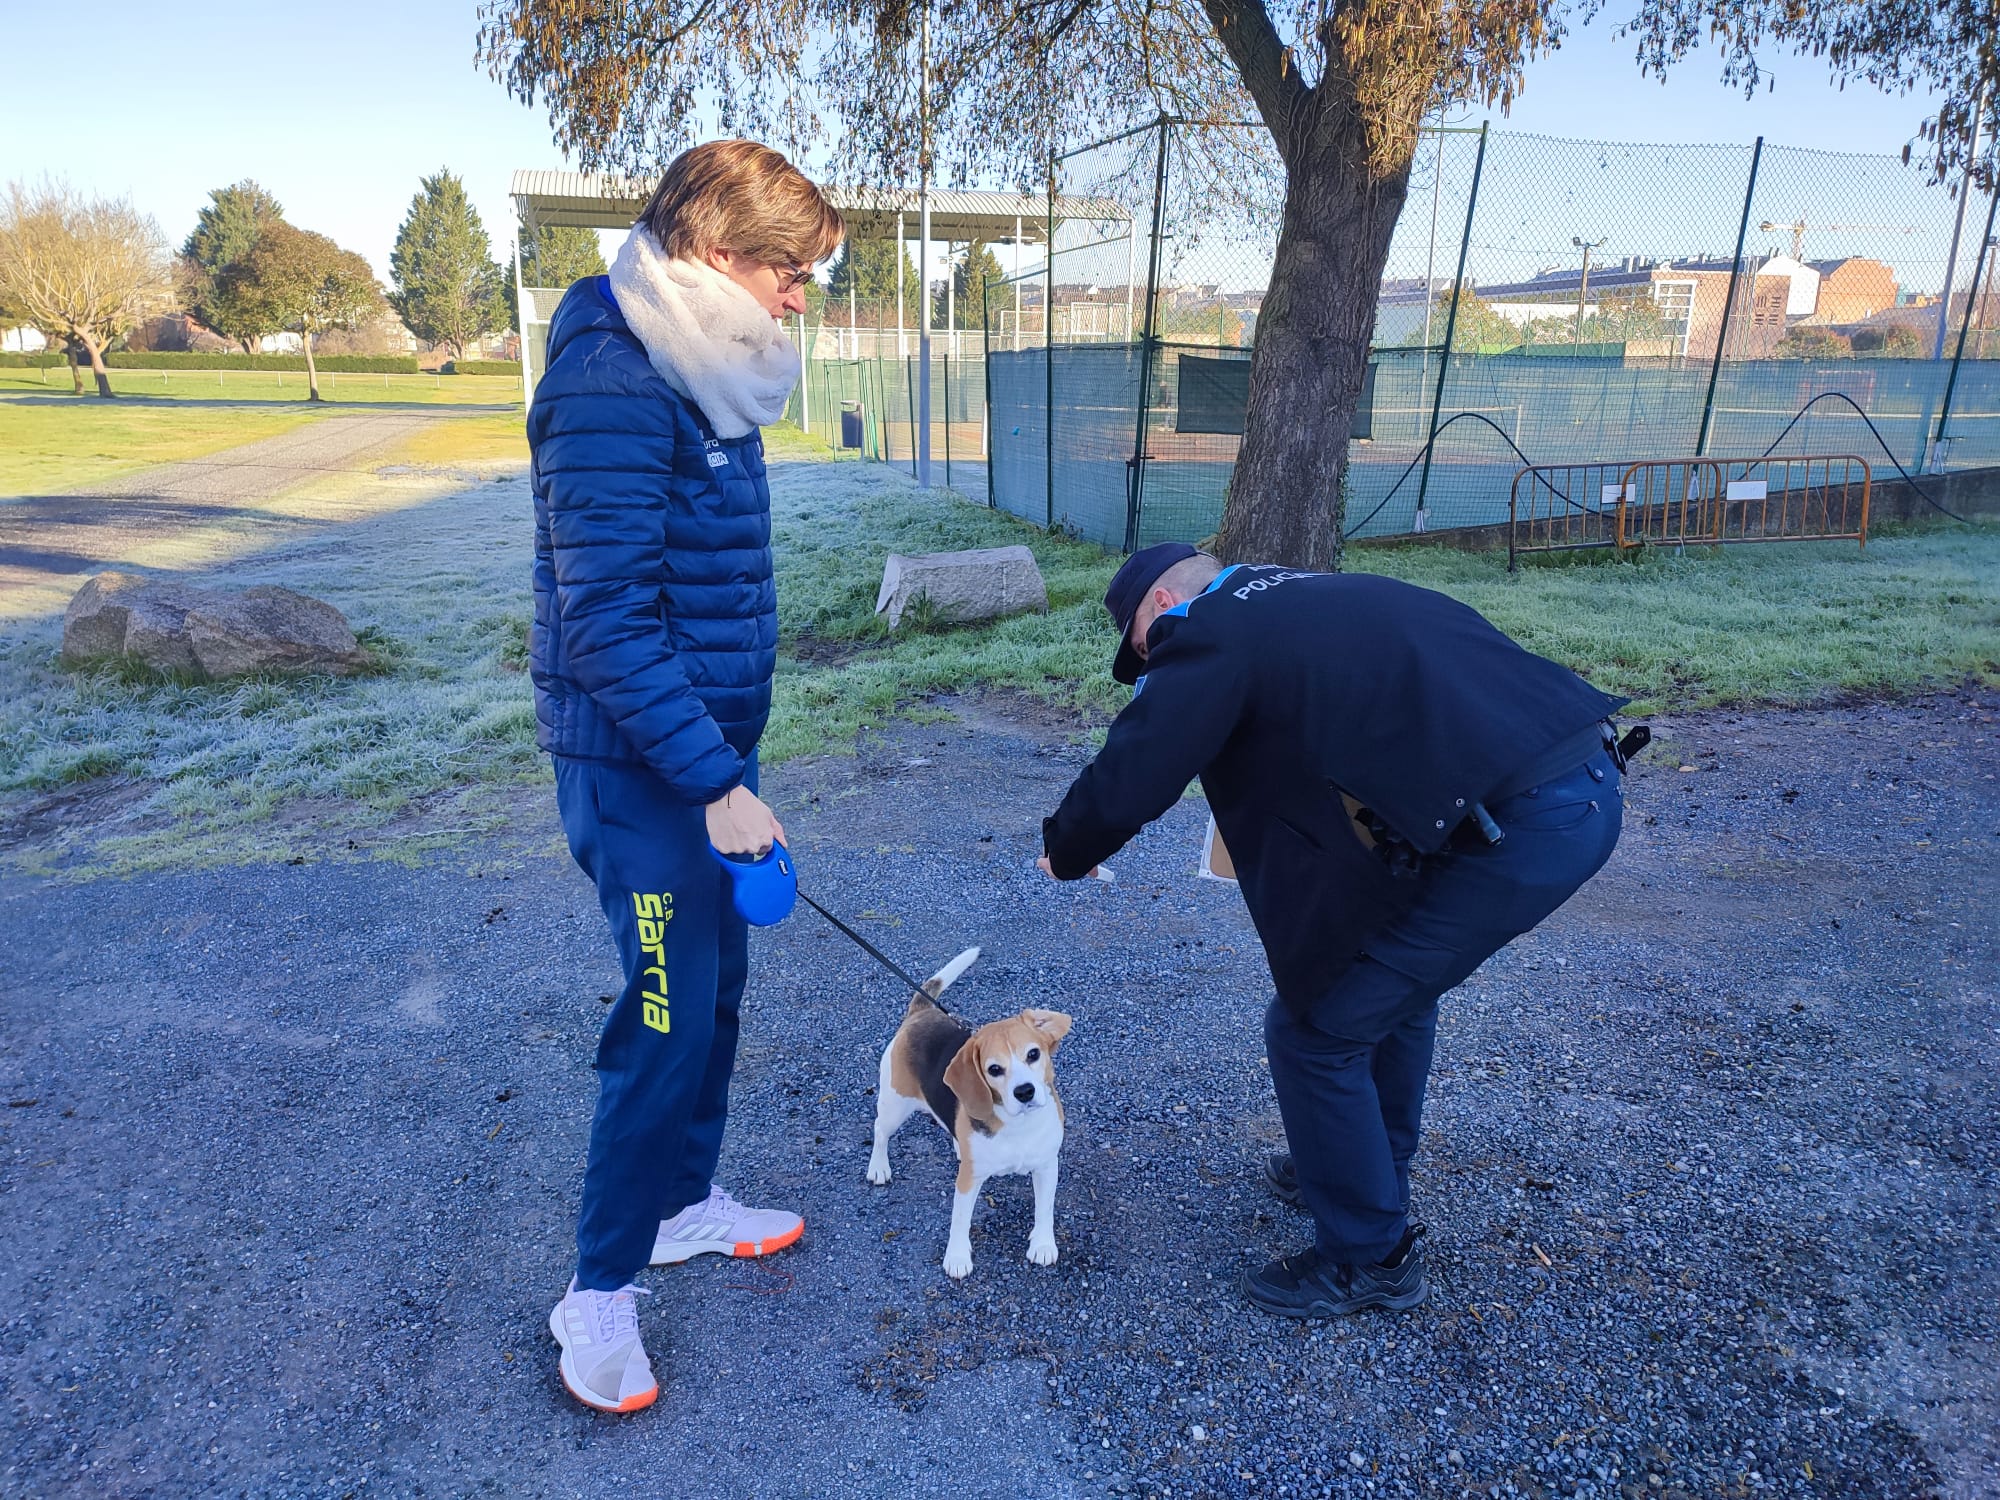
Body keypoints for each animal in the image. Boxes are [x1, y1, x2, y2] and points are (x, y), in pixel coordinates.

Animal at [864, 952, 1072, 1280]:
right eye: (994, 1069)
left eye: (1033, 1054)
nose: (1024, 1092)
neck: (1018, 1125)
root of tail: (921, 1014)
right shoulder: (968, 1180)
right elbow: (960, 1220)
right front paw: (958, 1257)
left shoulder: (1047, 1166)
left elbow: (1045, 1209)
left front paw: (1042, 1244)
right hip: (894, 1104)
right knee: (880, 1130)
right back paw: (878, 1167)